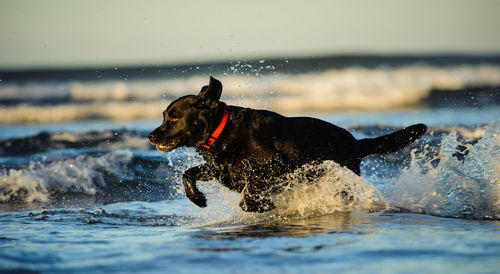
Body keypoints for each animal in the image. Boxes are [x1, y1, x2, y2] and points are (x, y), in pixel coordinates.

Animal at [148, 76, 426, 212]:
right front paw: (197, 198)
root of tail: (356, 142)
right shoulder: (221, 169)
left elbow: (249, 196)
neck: (224, 130)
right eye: (163, 115)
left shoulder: (274, 167)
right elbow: (188, 174)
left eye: (174, 117)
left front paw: (264, 205)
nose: (151, 137)